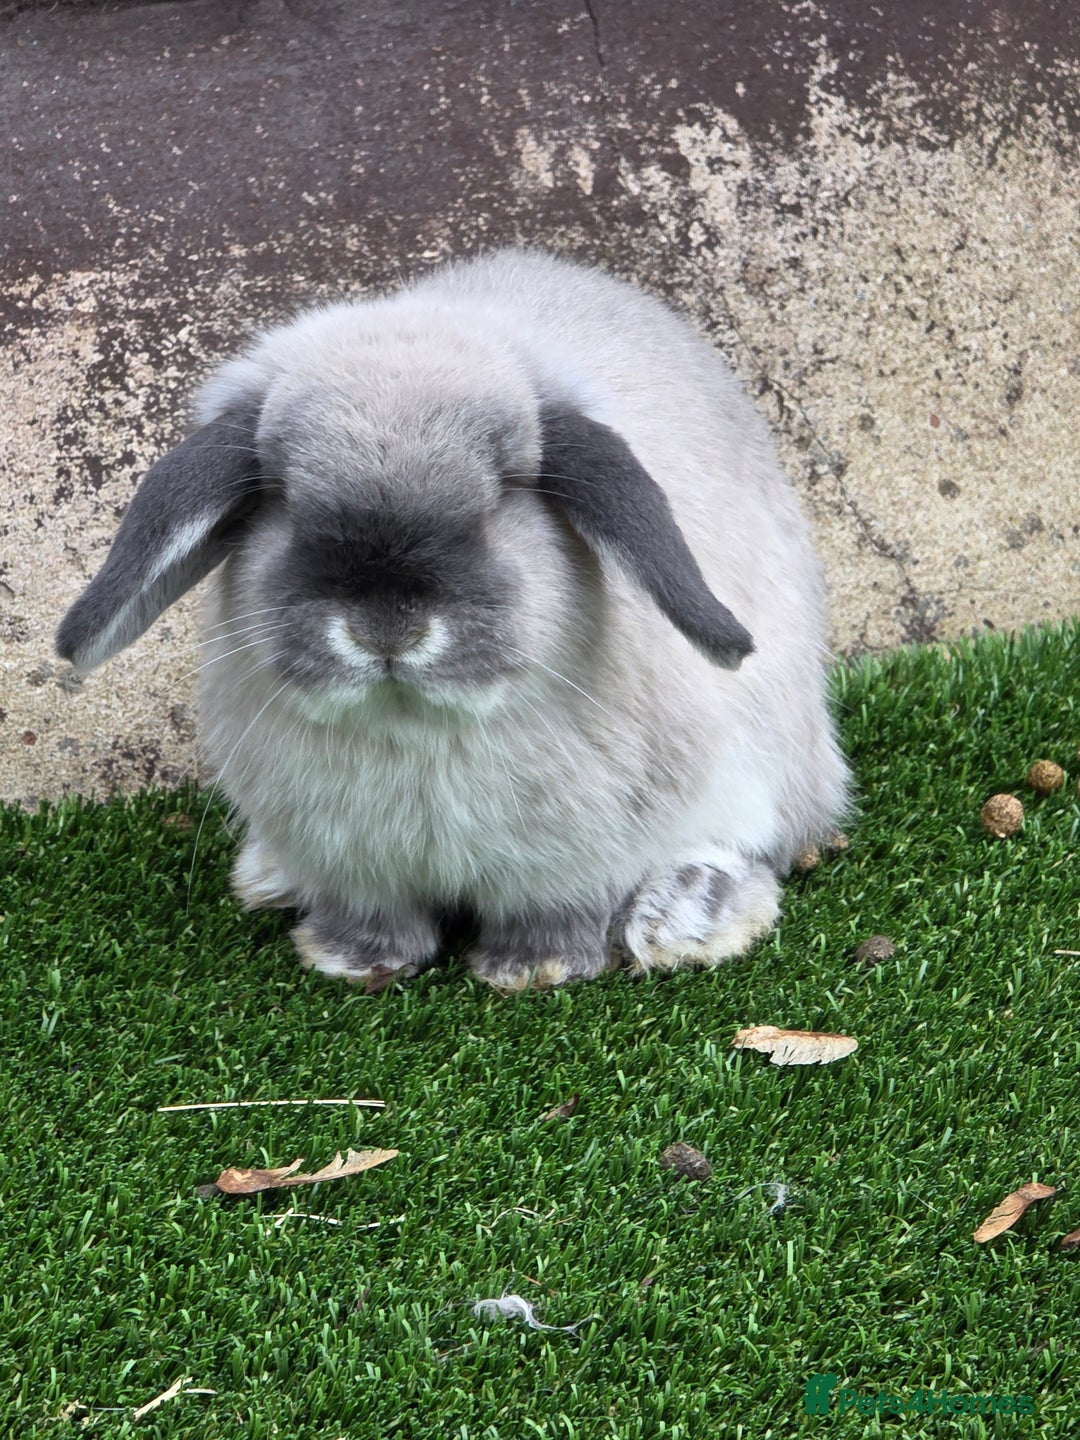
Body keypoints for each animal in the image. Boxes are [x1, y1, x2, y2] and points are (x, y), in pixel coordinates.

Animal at [56, 248, 850, 991]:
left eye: (503, 497)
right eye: (283, 500)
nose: (386, 626)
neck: (412, 722)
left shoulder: (572, 858)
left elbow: (557, 914)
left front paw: (532, 971)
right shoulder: (352, 863)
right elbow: (373, 918)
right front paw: (350, 961)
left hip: (768, 767)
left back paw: (683, 916)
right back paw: (268, 879)